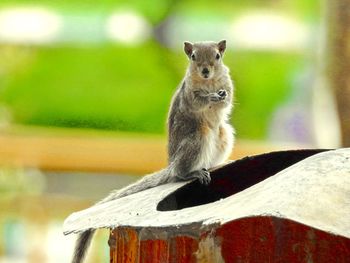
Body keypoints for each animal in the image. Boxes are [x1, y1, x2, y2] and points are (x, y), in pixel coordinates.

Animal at [70, 39, 235, 263]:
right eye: (193, 56)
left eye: (217, 56)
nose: (205, 70)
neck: (208, 82)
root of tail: (172, 164)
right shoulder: (188, 93)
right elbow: (197, 101)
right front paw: (210, 97)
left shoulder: (226, 82)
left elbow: (228, 98)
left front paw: (221, 96)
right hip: (197, 138)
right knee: (180, 173)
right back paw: (193, 172)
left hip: (224, 135)